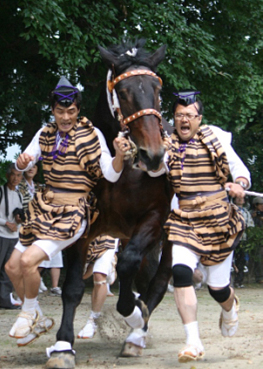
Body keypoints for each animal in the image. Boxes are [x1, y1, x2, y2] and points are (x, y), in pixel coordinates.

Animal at [47, 39, 175, 368]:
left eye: (157, 89)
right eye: (124, 91)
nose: (153, 155)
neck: (122, 171)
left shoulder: (153, 220)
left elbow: (128, 263)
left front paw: (133, 312)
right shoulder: (84, 227)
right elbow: (72, 288)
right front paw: (63, 345)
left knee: (157, 280)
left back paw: (136, 335)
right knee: (145, 277)